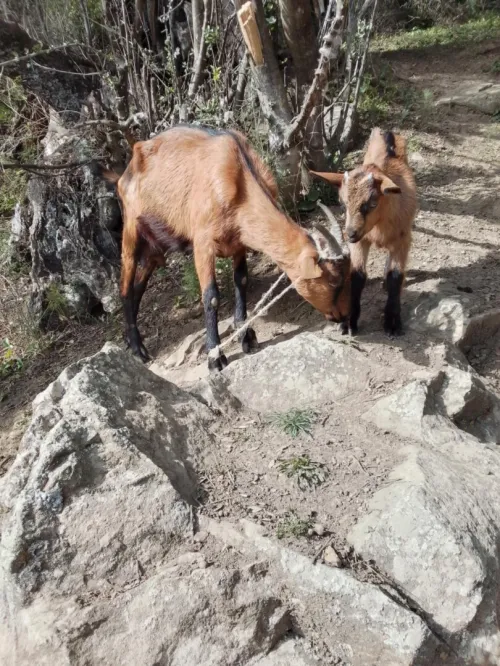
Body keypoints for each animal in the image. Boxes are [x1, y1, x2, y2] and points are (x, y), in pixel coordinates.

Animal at [102, 125, 351, 370]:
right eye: (333, 281)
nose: (344, 317)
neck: (238, 173)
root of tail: (127, 169)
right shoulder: (202, 243)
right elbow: (211, 296)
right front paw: (215, 358)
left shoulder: (239, 242)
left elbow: (241, 281)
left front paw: (247, 338)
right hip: (131, 229)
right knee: (125, 287)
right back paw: (138, 349)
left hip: (155, 247)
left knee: (138, 287)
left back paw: (129, 340)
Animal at [310, 128, 417, 337]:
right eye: (342, 204)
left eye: (371, 204)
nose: (350, 233)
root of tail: (388, 132)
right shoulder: (361, 241)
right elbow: (357, 276)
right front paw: (349, 322)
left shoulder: (403, 239)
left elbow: (395, 276)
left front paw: (392, 322)